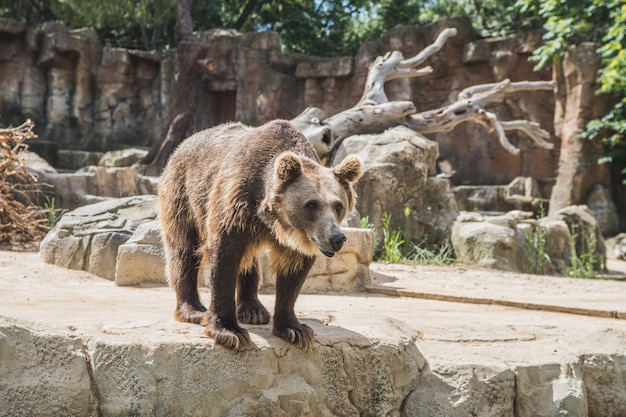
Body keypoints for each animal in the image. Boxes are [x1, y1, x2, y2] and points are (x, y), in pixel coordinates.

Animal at [158, 118, 360, 350]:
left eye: (338, 205)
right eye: (311, 205)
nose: (336, 238)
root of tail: (183, 144)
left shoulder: (294, 239)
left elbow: (293, 272)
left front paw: (296, 329)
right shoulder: (235, 203)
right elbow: (224, 256)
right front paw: (229, 331)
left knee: (248, 261)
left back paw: (253, 310)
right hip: (184, 196)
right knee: (184, 251)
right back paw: (193, 310)